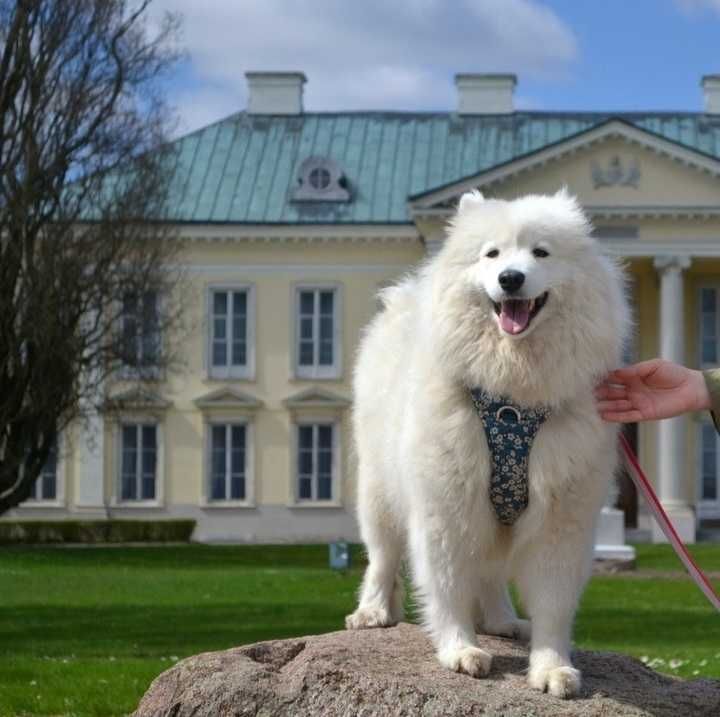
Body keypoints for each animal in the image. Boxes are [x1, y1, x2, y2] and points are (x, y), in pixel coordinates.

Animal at [346, 190, 628, 700]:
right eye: (491, 254)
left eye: (541, 252)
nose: (510, 278)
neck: (512, 399)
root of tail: (403, 297)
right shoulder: (446, 504)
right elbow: (449, 583)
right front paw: (459, 649)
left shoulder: (561, 517)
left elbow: (553, 603)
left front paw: (552, 667)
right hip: (378, 490)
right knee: (382, 555)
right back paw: (372, 611)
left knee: (492, 574)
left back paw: (501, 620)